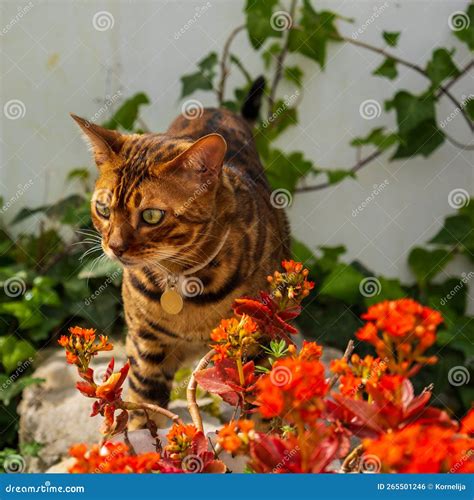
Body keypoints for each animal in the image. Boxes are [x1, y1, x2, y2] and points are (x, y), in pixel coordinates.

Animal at [72, 98, 290, 430]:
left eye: (151, 216)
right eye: (103, 208)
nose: (116, 247)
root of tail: (213, 107)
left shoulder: (257, 345)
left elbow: (257, 414)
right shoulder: (146, 349)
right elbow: (144, 413)